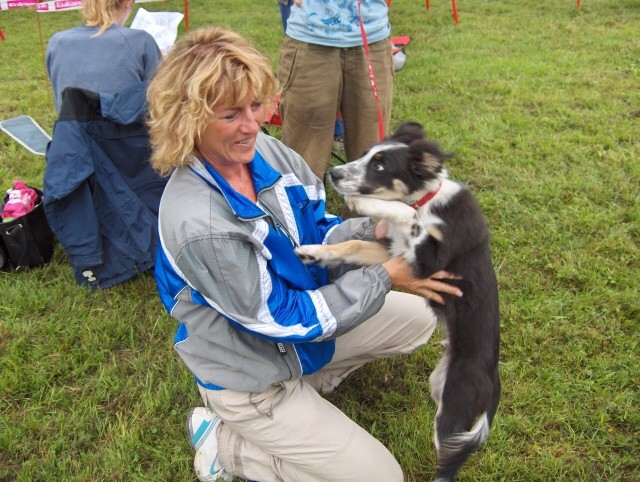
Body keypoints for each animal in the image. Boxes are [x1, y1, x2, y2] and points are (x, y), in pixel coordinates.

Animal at [296, 121, 500, 482]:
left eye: (380, 166)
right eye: (366, 155)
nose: (334, 173)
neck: (427, 199)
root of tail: (494, 383)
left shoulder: (429, 258)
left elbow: (407, 214)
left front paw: (360, 201)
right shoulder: (392, 251)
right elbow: (351, 245)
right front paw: (314, 252)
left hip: (454, 411)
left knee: (448, 466)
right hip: (439, 386)